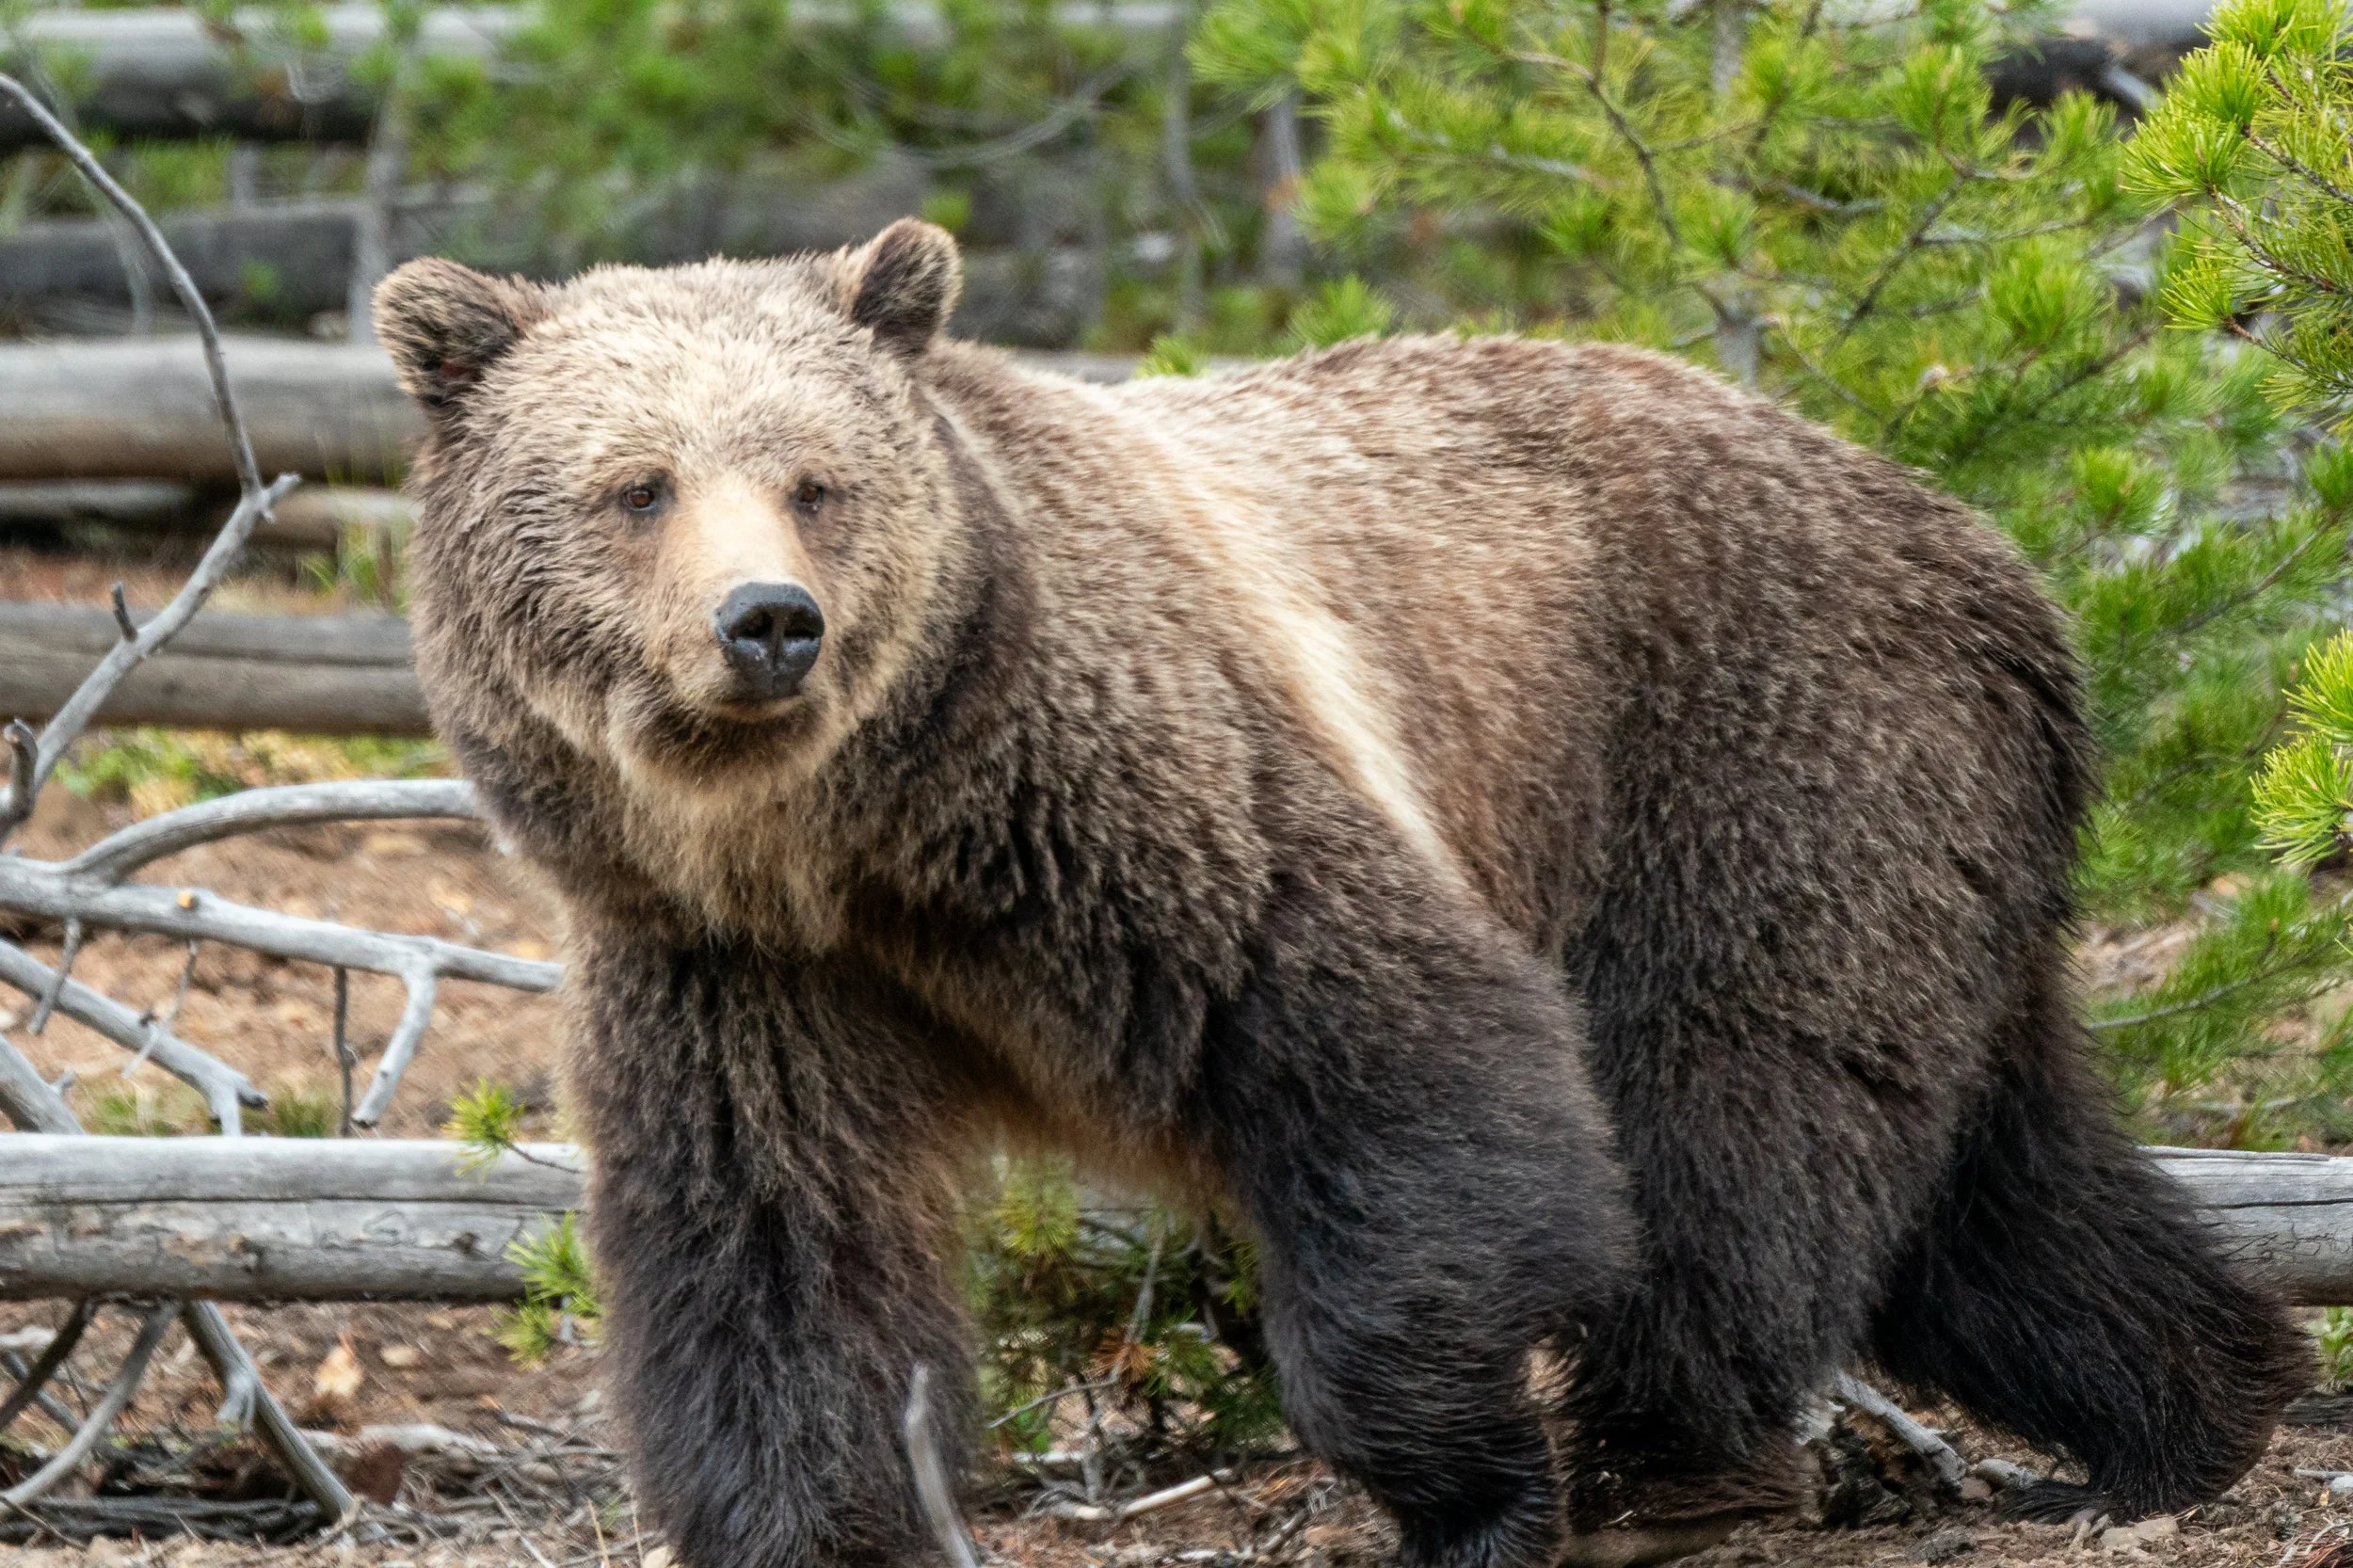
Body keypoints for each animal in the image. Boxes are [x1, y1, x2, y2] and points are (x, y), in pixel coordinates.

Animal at [372, 219, 2310, 1568]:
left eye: (816, 478)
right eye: (636, 484)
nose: (767, 621)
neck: (861, 825)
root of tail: (1997, 561)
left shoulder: (1145, 789)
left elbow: (1396, 1049)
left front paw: (1464, 1483)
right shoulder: (736, 961)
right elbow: (767, 1245)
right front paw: (813, 1515)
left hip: (1760, 753)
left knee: (1733, 1126)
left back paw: (1670, 1462)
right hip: (1928, 847)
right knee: (1997, 1180)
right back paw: (2186, 1413)